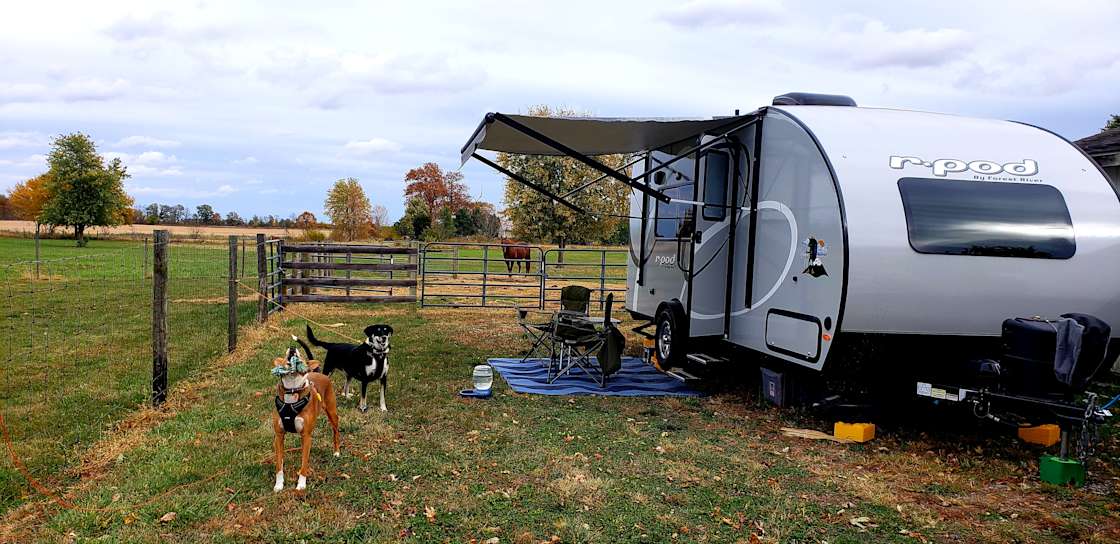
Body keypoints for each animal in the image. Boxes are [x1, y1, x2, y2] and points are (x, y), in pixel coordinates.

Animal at [272, 344, 338, 492]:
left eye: (300, 355)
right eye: (285, 355)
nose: (292, 348)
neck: (292, 391)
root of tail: (319, 373)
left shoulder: (306, 436)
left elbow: (304, 464)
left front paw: (301, 485)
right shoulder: (279, 436)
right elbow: (279, 465)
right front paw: (279, 485)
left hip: (332, 413)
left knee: (336, 431)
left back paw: (337, 452)